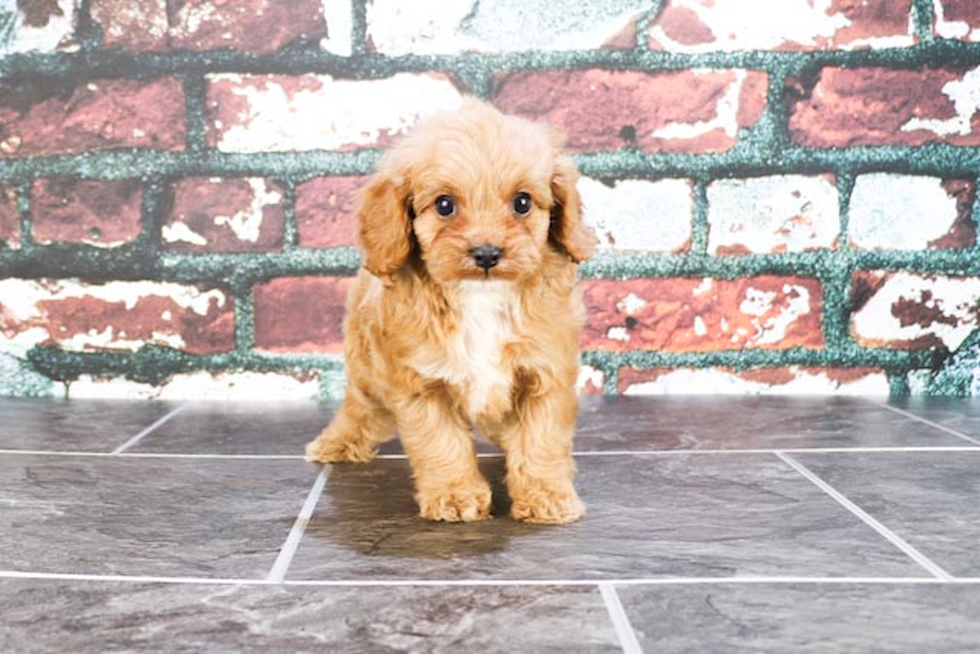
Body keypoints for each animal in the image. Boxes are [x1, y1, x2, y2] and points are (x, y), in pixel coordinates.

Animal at [306, 98, 596, 528]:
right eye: (445, 205)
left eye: (523, 202)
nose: (487, 254)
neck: (481, 298)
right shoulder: (422, 384)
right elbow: (442, 444)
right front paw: (455, 496)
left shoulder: (545, 374)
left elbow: (540, 441)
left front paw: (547, 497)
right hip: (365, 369)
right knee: (358, 407)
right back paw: (334, 443)